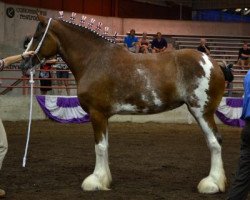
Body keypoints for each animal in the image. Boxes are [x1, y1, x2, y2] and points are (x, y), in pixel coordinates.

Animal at [21, 15, 227, 194]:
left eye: (37, 36)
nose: (24, 63)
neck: (94, 59)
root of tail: (215, 63)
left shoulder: (96, 113)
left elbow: (99, 147)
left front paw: (95, 181)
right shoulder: (103, 116)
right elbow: (105, 145)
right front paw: (104, 179)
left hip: (202, 112)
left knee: (215, 142)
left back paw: (212, 184)